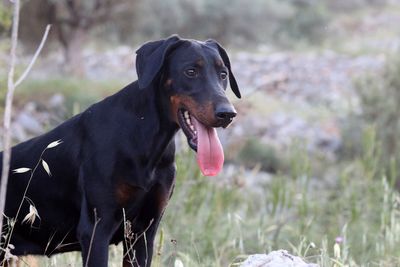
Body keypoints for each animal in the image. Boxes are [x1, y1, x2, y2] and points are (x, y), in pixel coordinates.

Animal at [0, 35, 241, 267]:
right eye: (190, 71)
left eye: (223, 74)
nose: (227, 114)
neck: (146, 140)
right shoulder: (96, 229)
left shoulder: (143, 232)